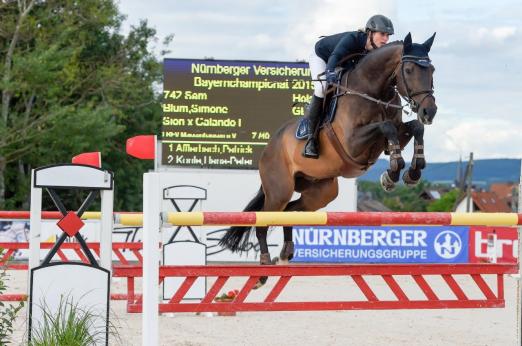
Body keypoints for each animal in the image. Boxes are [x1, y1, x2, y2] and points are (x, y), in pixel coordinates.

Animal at [217, 32, 436, 286]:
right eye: (409, 70)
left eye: (432, 70)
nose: (429, 111)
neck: (374, 91)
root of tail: (268, 148)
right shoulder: (353, 143)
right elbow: (386, 127)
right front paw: (391, 174)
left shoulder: (392, 136)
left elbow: (415, 128)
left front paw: (412, 172)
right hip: (279, 190)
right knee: (263, 222)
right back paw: (262, 269)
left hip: (320, 192)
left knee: (290, 211)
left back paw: (286, 252)